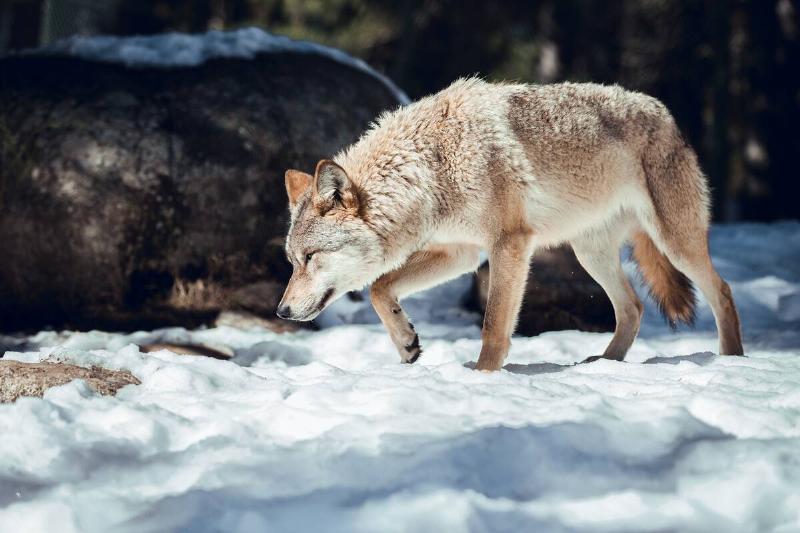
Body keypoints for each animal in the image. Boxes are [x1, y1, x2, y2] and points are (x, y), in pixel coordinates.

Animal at [277, 78, 743, 371]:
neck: (431, 166)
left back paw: (732, 360)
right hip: (590, 254)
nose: (281, 311)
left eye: (310, 257)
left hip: (675, 241)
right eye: (292, 261)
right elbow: (379, 287)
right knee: (633, 307)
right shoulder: (461, 253)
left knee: (722, 290)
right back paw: (603, 364)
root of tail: (664, 112)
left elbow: (493, 324)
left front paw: (483, 376)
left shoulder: (509, 244)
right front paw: (407, 343)